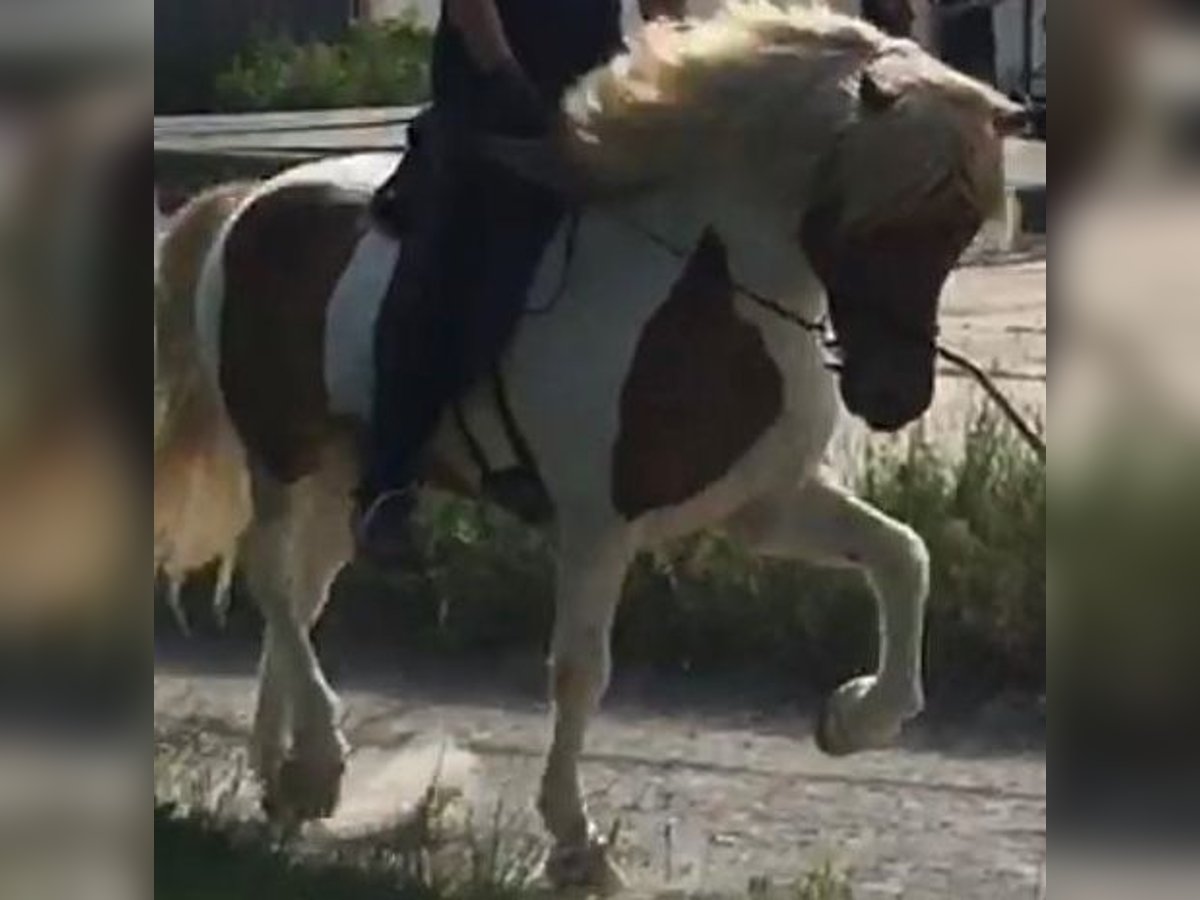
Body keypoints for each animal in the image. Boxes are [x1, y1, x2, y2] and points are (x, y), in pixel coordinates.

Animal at [150, 3, 1017, 892]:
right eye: (877, 222)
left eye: (957, 233)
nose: (895, 398)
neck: (699, 294)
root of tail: (253, 198)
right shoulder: (599, 525)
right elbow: (579, 671)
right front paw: (576, 843)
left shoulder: (762, 505)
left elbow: (902, 556)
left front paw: (854, 719)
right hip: (279, 452)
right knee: (272, 580)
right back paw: (320, 763)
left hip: (339, 475)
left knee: (303, 591)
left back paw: (282, 774)